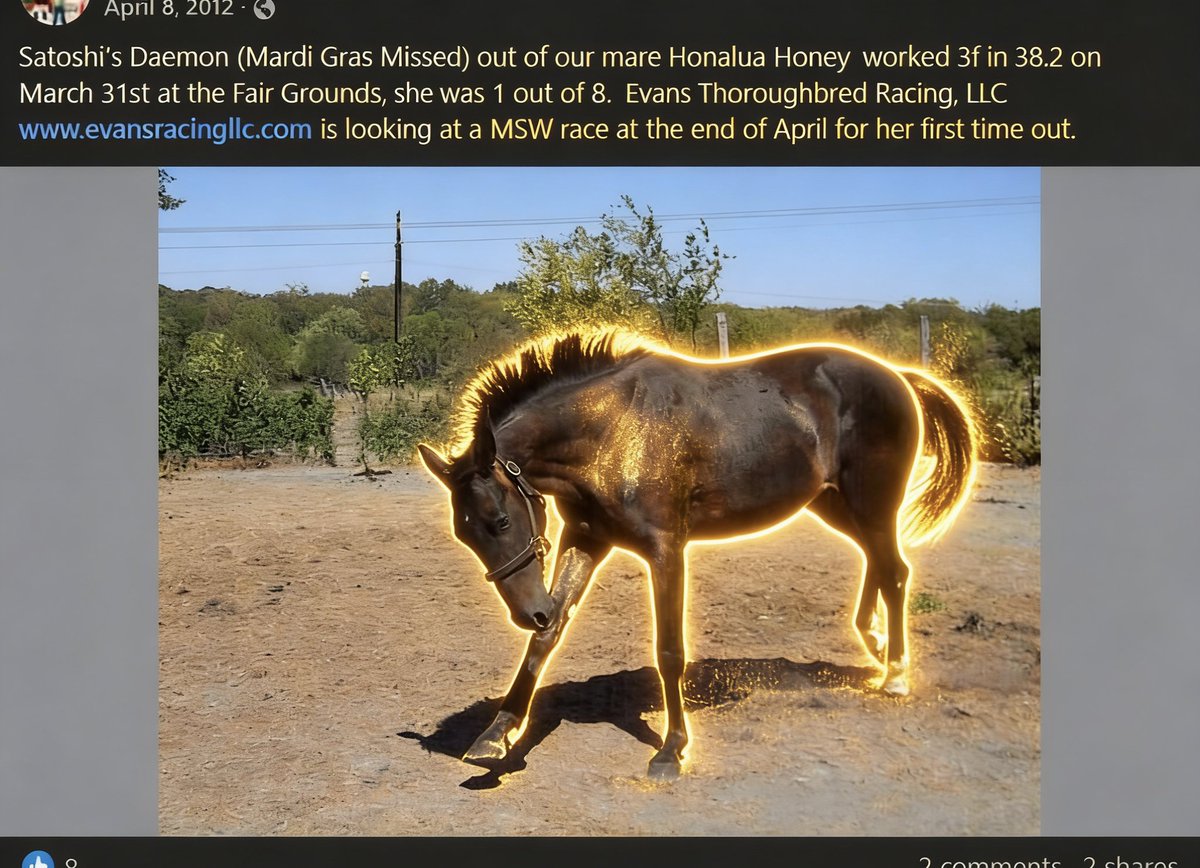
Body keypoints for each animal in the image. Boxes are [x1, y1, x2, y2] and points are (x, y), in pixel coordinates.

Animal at [418, 329, 977, 780]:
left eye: (501, 521)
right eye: (465, 535)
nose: (526, 611)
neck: (610, 429)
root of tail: (897, 376)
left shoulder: (666, 550)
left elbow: (669, 651)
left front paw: (671, 751)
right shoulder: (587, 538)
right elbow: (547, 639)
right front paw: (497, 733)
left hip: (871, 503)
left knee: (896, 571)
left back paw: (896, 674)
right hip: (835, 503)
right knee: (879, 564)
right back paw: (876, 645)